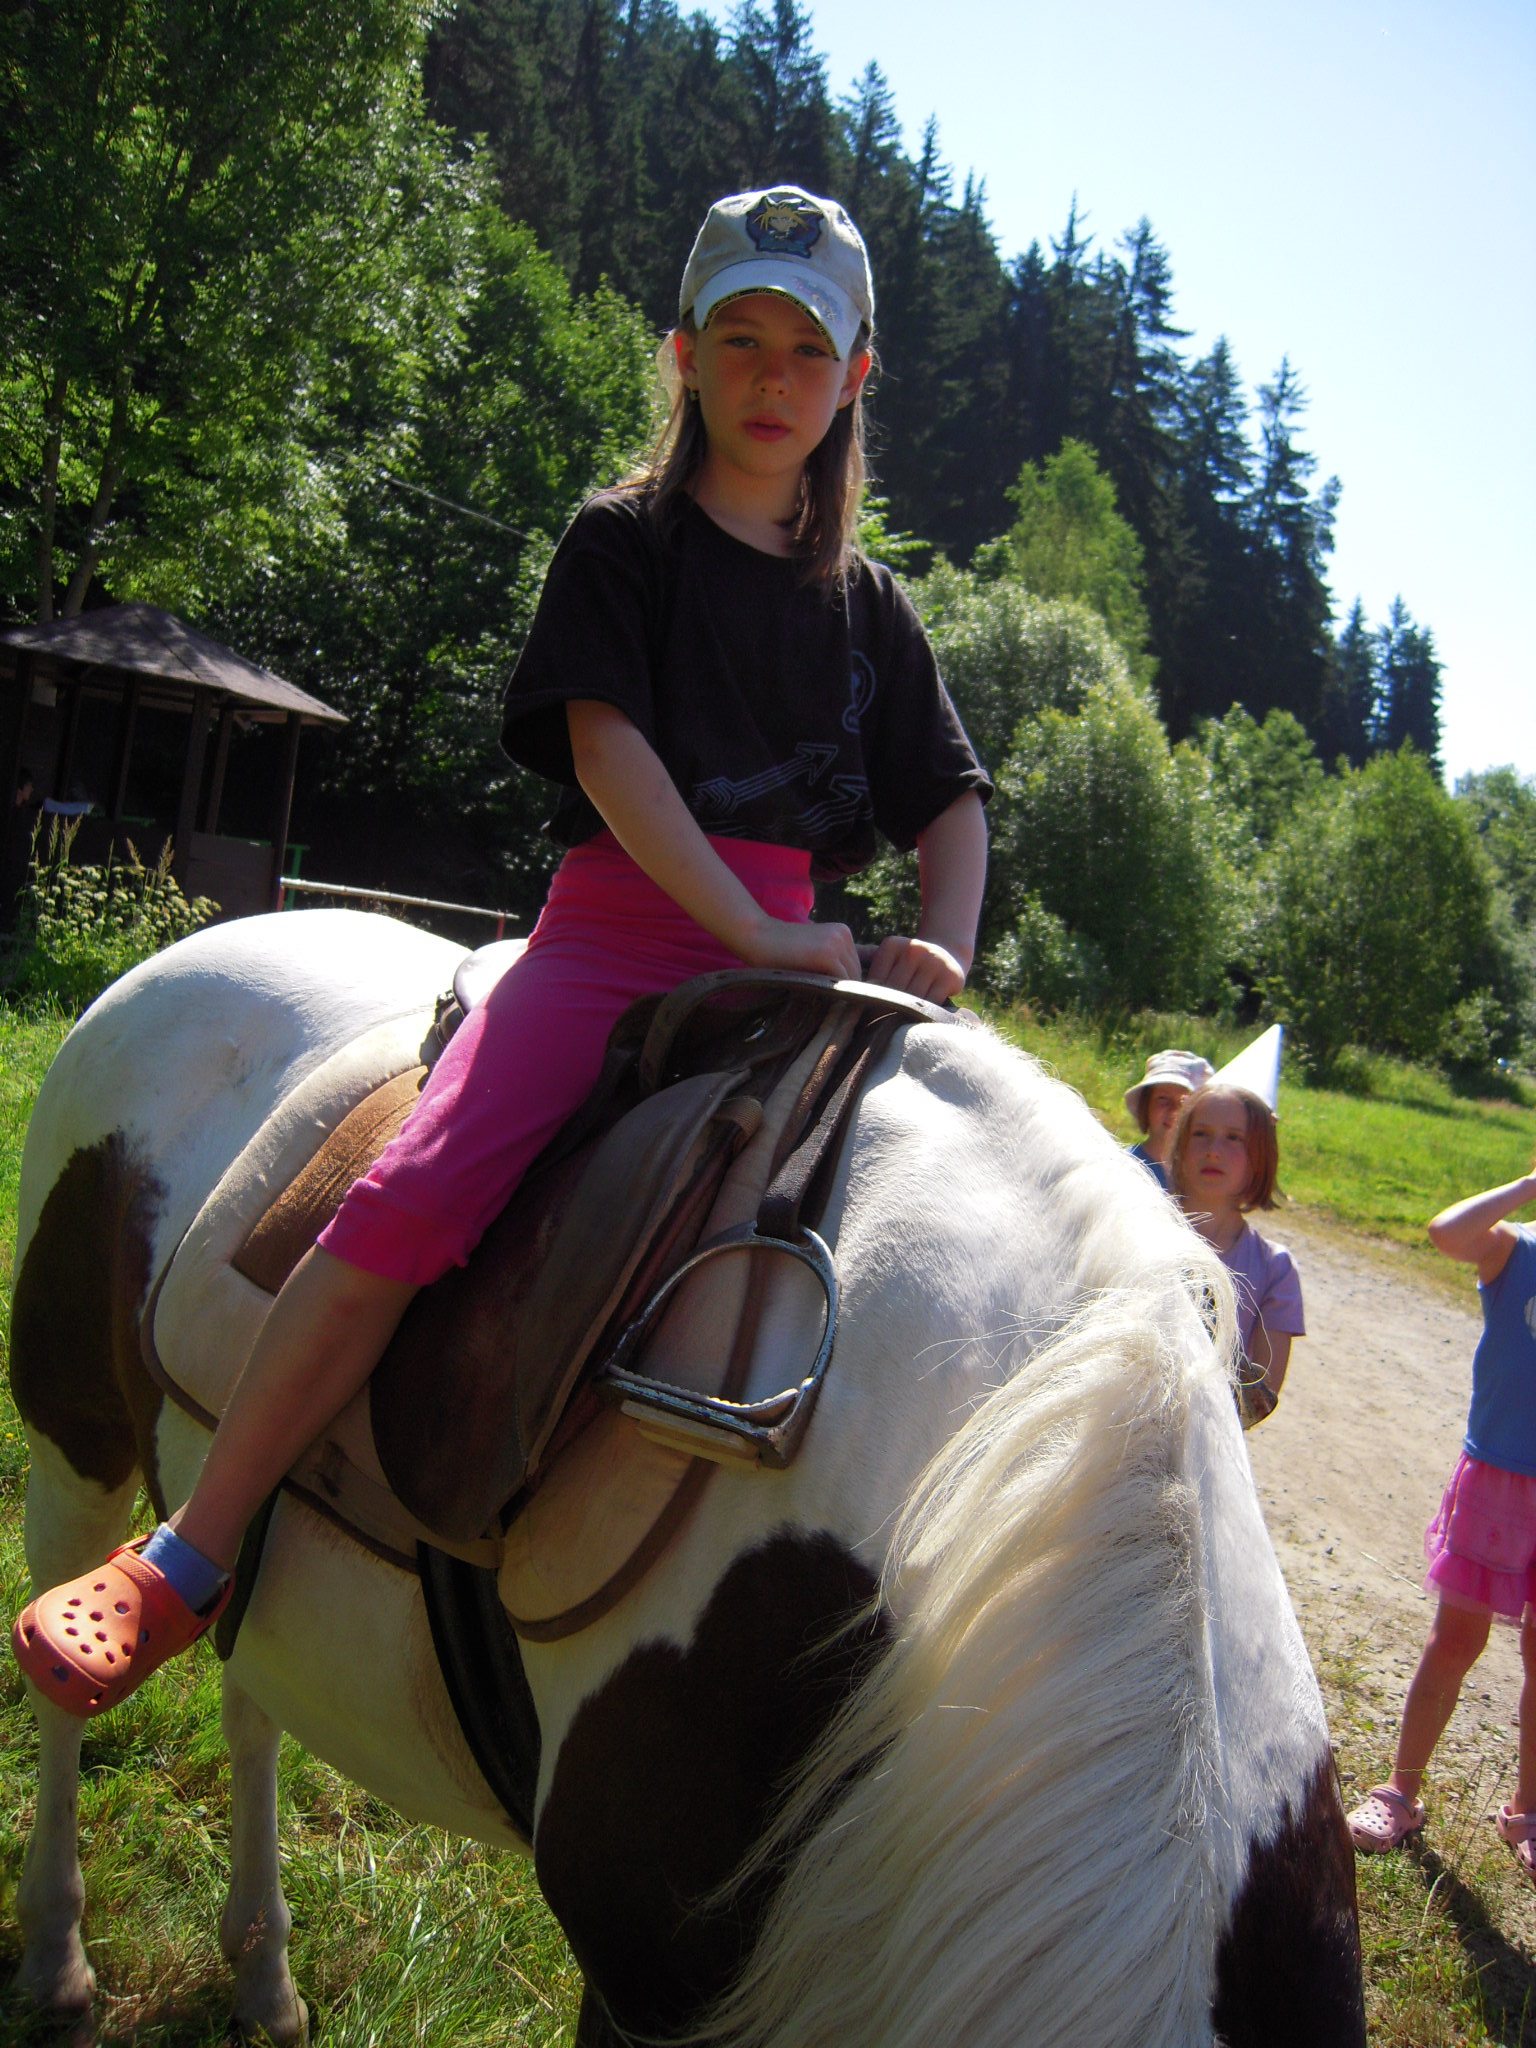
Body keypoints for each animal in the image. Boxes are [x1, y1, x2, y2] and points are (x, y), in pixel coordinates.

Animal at [8, 909, 1365, 2046]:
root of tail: (201, 939)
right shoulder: (644, 1977)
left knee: (252, 1695)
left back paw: (260, 1972)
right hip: (75, 1449)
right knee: (64, 1690)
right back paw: (58, 1954)